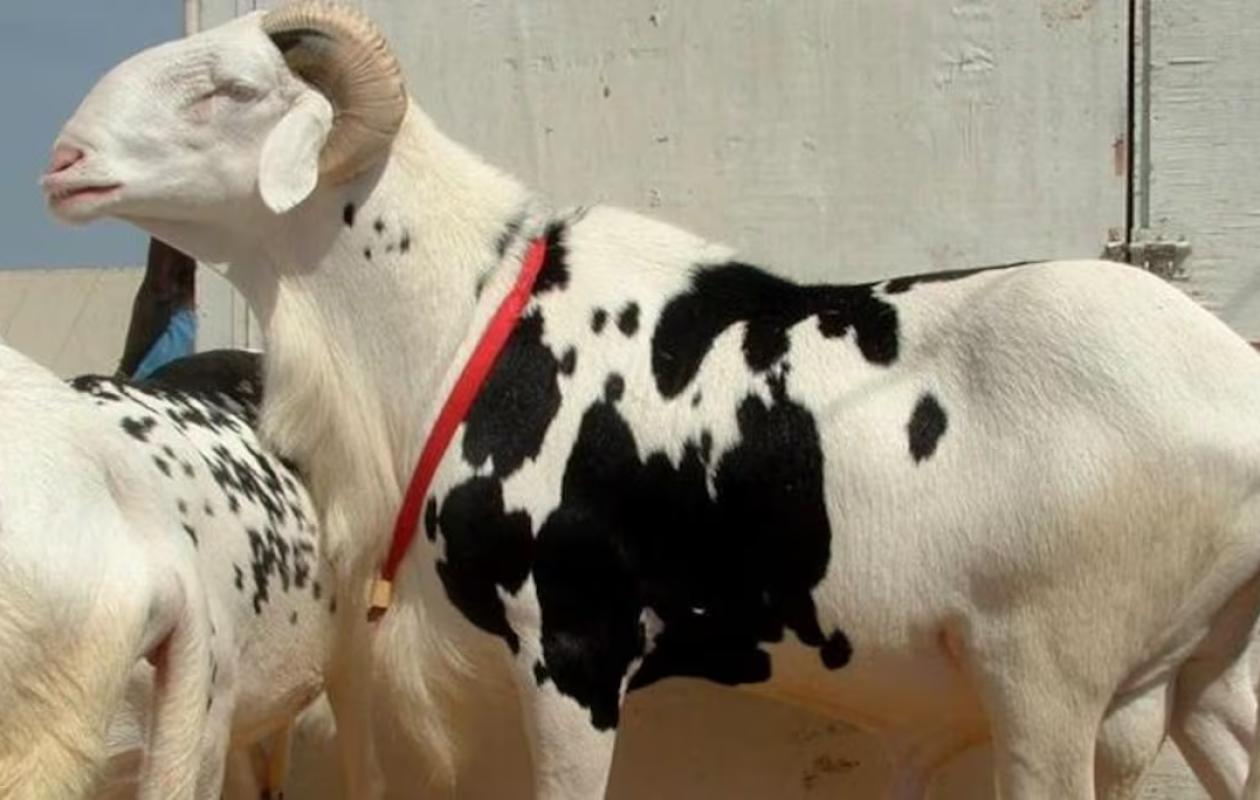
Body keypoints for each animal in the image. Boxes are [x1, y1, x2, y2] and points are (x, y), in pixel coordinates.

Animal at [46, 5, 1260, 797]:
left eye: (230, 90)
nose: (61, 159)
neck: (468, 317)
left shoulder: (574, 648)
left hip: (1047, 675)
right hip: (1210, 667)